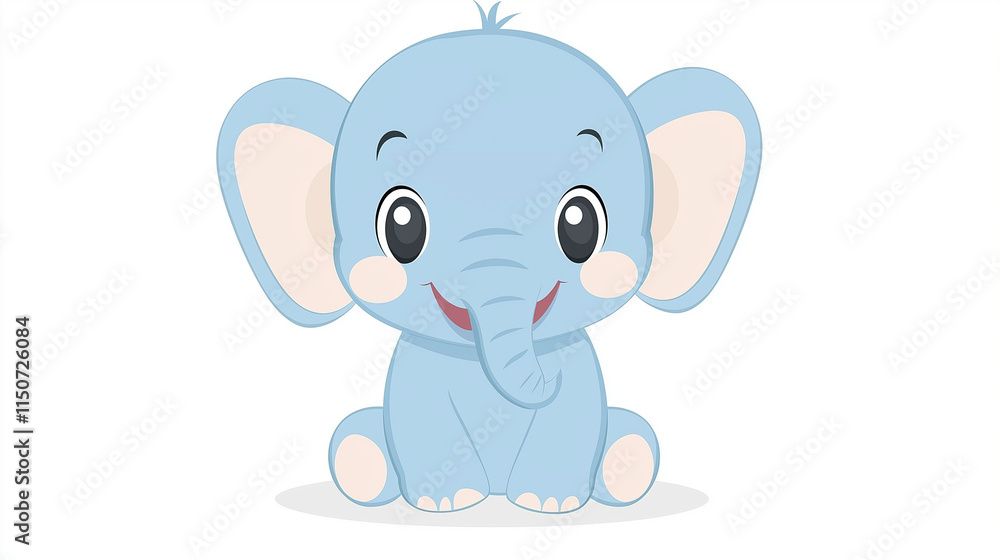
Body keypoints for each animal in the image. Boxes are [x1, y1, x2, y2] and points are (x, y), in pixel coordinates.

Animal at [217, 3, 760, 514]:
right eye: (401, 226)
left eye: (580, 224)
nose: (548, 377)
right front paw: (447, 502)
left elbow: (573, 415)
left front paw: (547, 503)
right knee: (358, 439)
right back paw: (362, 465)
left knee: (629, 438)